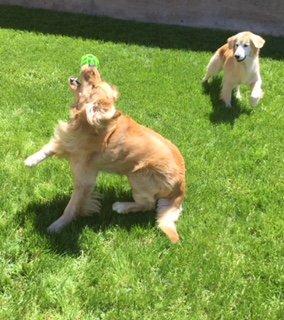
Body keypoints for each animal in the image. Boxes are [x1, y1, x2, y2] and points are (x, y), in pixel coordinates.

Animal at [24, 67, 185, 242]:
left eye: (94, 86)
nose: (92, 68)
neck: (85, 123)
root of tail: (182, 184)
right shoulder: (67, 140)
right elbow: (49, 147)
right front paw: (31, 160)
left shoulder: (85, 179)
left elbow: (72, 206)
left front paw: (57, 226)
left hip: (139, 176)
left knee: (147, 204)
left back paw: (121, 206)